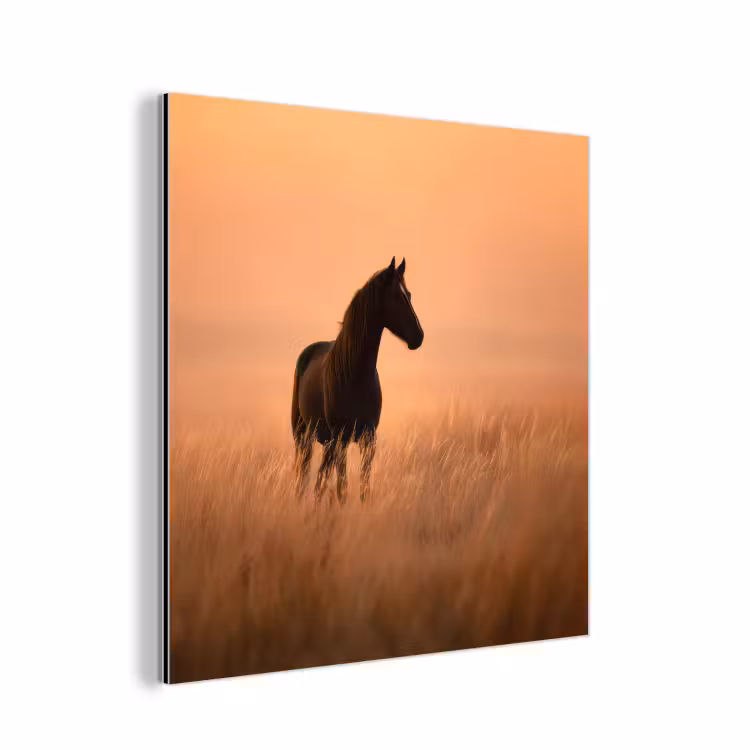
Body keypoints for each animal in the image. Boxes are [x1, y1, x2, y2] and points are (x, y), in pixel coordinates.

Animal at [290, 256, 424, 504]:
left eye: (409, 294)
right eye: (396, 296)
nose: (418, 337)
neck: (355, 375)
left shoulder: (368, 439)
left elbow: (363, 487)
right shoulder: (341, 439)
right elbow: (342, 488)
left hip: (327, 443)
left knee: (320, 481)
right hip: (303, 436)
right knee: (304, 478)